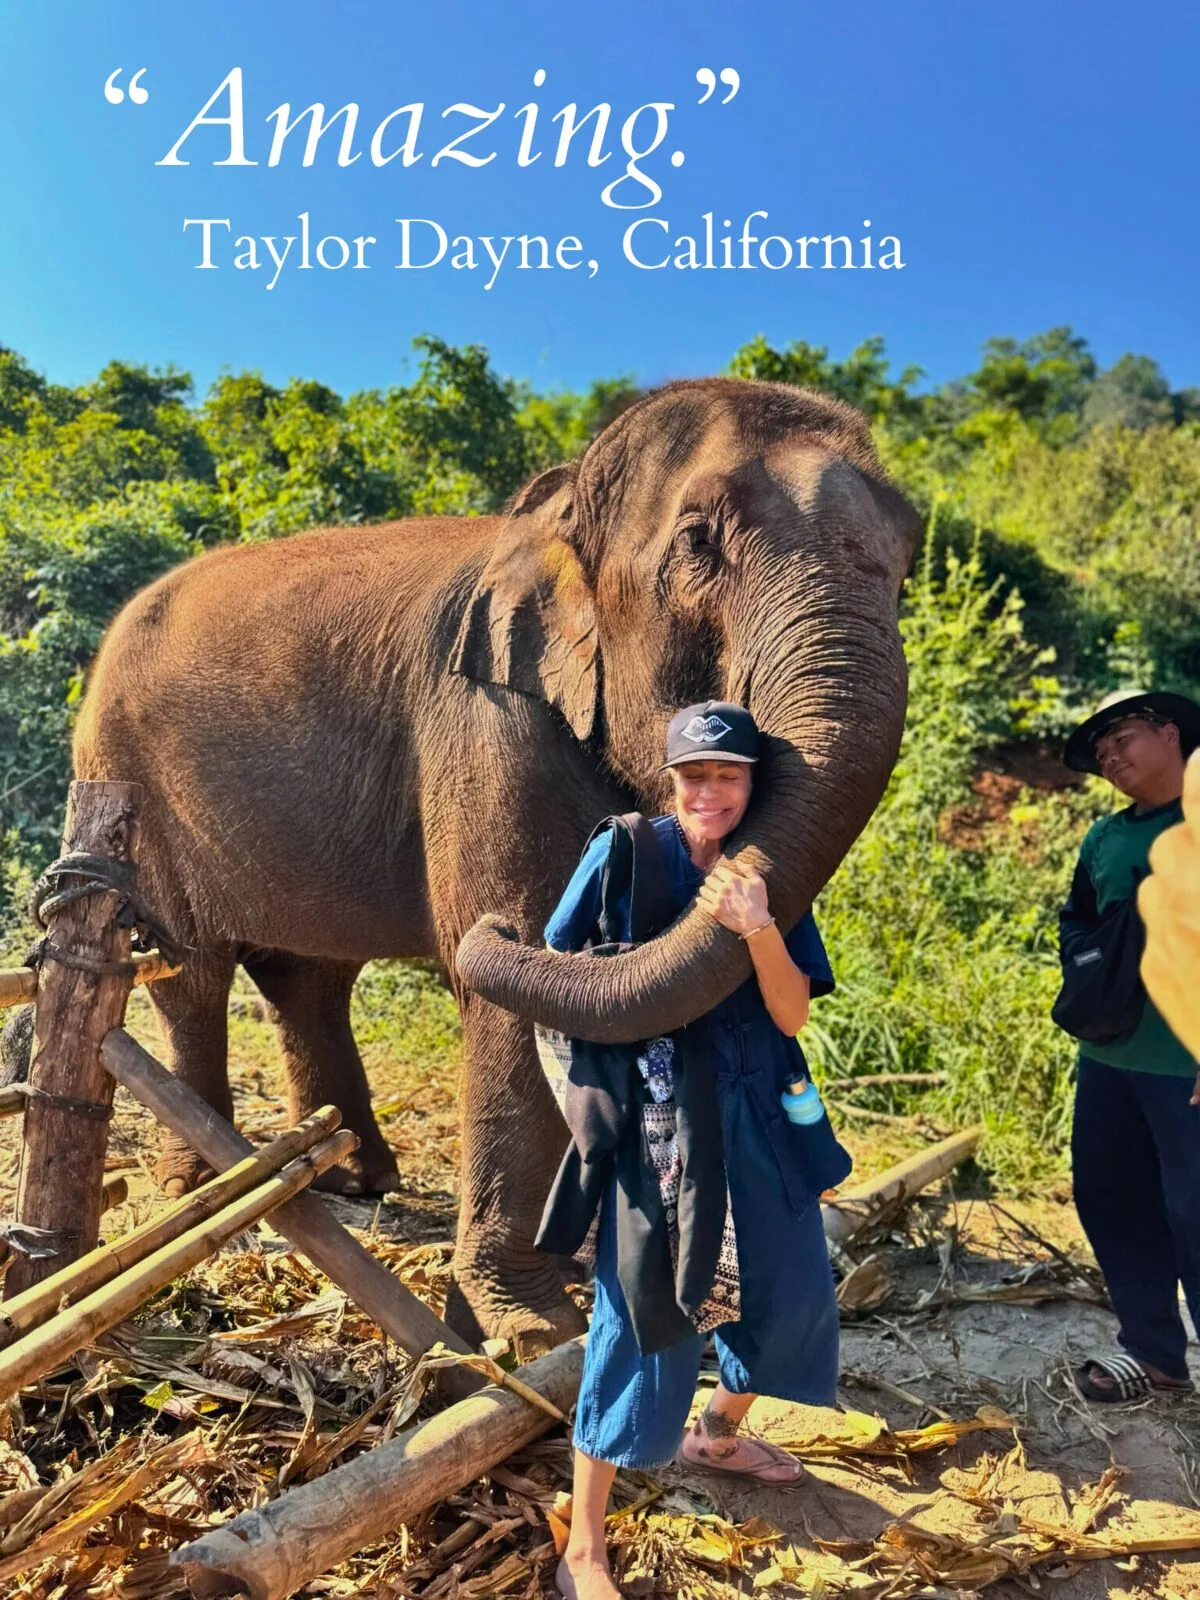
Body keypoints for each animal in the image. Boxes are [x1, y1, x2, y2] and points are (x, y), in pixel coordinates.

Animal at [72, 378, 920, 1351]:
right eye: (699, 540)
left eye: (908, 556)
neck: (557, 506)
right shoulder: (484, 719)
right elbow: (524, 1000)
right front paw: (531, 1330)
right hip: (125, 781)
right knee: (191, 971)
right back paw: (203, 1190)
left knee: (307, 978)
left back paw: (355, 1177)